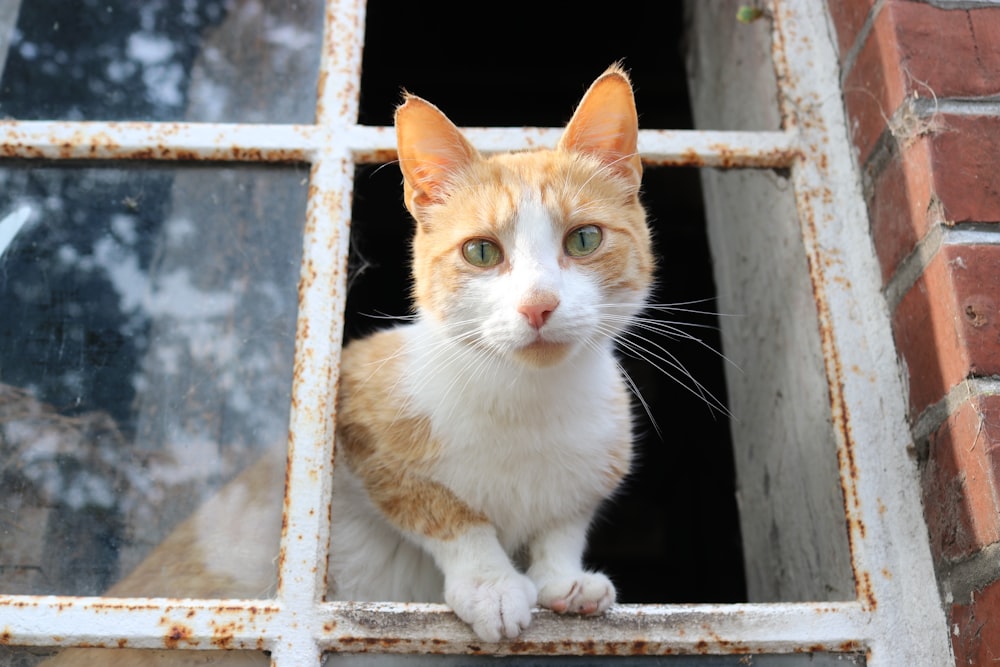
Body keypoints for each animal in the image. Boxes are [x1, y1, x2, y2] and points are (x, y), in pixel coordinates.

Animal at [330, 66, 656, 640]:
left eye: (584, 239)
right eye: (481, 251)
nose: (538, 304)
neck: (529, 402)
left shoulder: (602, 454)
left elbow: (563, 521)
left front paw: (562, 578)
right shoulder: (362, 417)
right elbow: (444, 511)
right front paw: (491, 584)